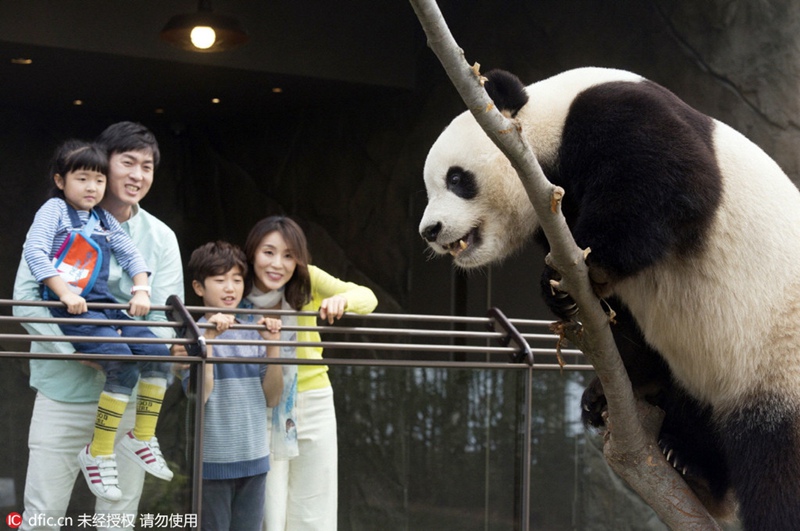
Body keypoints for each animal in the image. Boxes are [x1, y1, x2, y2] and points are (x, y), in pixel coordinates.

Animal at [418, 67, 800, 530]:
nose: (430, 230)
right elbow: (622, 318)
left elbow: (669, 182)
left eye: (457, 179)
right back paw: (690, 465)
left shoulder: (619, 115)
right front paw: (574, 317)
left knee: (777, 462)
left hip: (779, 361)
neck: (546, 129)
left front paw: (584, 267)